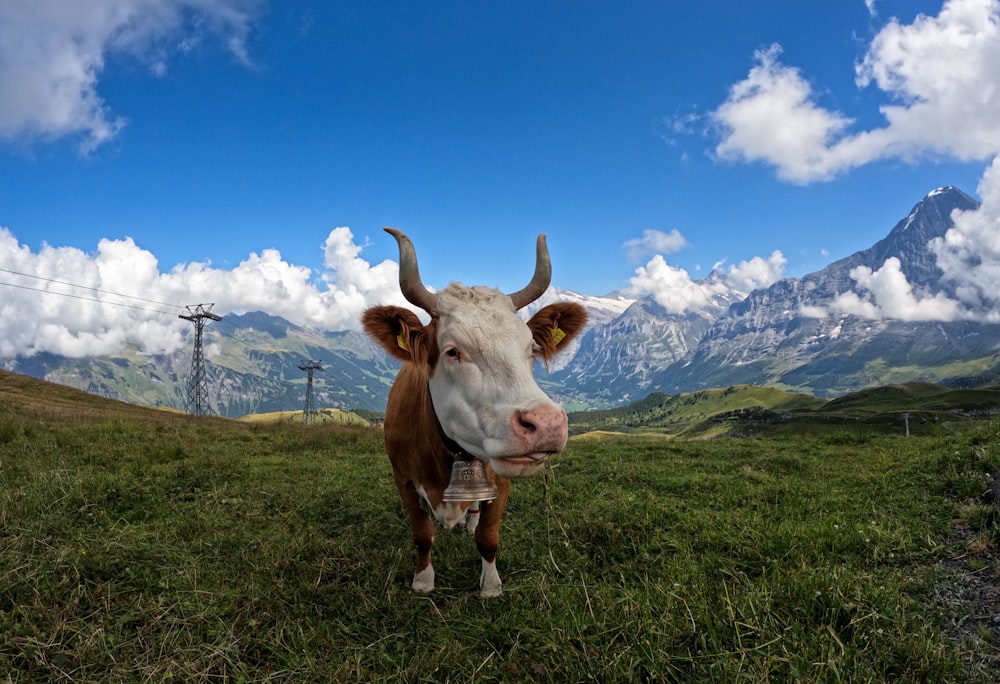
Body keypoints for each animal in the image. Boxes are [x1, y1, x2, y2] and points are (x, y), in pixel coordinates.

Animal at [364, 227, 588, 596]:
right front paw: (423, 581)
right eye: (453, 351)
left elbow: (488, 537)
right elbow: (422, 534)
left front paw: (491, 586)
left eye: (531, 348)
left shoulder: (500, 481)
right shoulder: (403, 478)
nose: (546, 424)